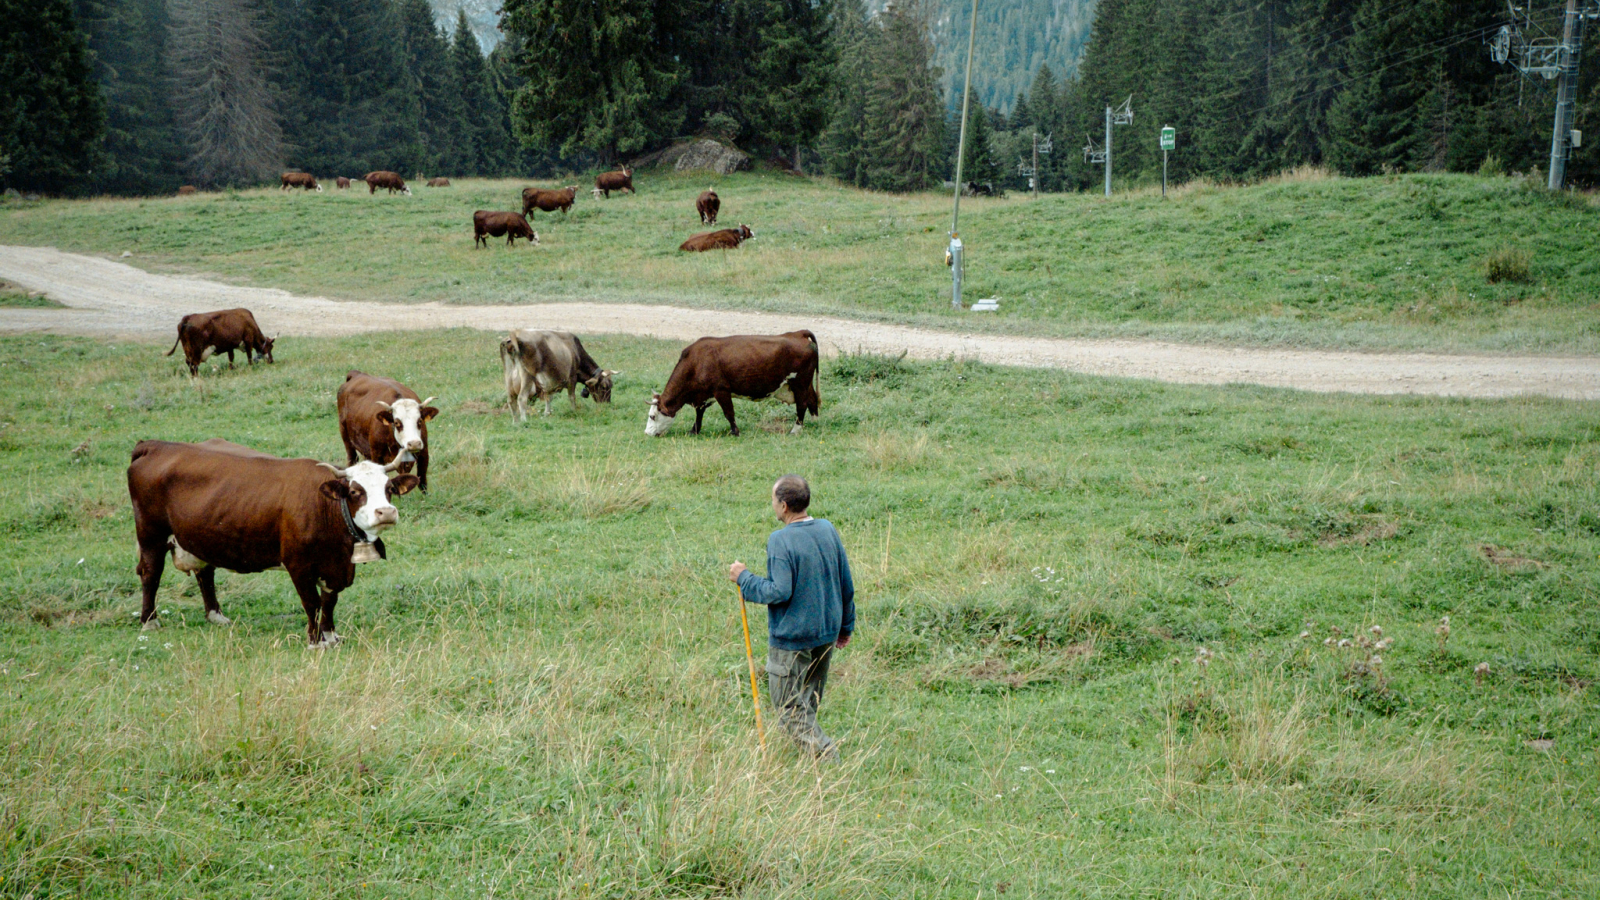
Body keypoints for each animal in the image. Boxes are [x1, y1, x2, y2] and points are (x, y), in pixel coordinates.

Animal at [643, 333, 819, 438]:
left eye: (652, 416)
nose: (647, 433)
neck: (697, 362)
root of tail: (797, 334)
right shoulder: (704, 395)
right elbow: (699, 414)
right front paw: (694, 430)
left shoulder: (721, 390)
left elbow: (729, 413)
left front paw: (735, 432)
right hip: (804, 385)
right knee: (813, 400)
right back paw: (814, 422)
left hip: (800, 383)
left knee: (802, 405)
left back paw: (795, 430)